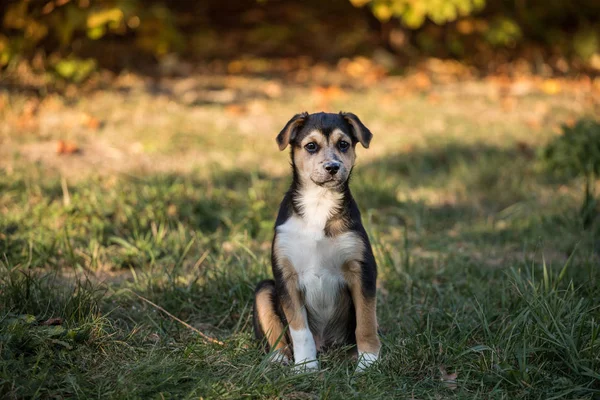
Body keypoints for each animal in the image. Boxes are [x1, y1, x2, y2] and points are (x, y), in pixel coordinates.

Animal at [253, 111, 380, 372]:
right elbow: (299, 329)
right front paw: (306, 366)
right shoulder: (286, 275)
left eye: (344, 144)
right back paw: (279, 358)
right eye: (311, 146)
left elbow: (366, 321)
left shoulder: (362, 269)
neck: (319, 201)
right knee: (278, 335)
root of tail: (327, 345)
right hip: (263, 289)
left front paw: (368, 362)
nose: (333, 167)